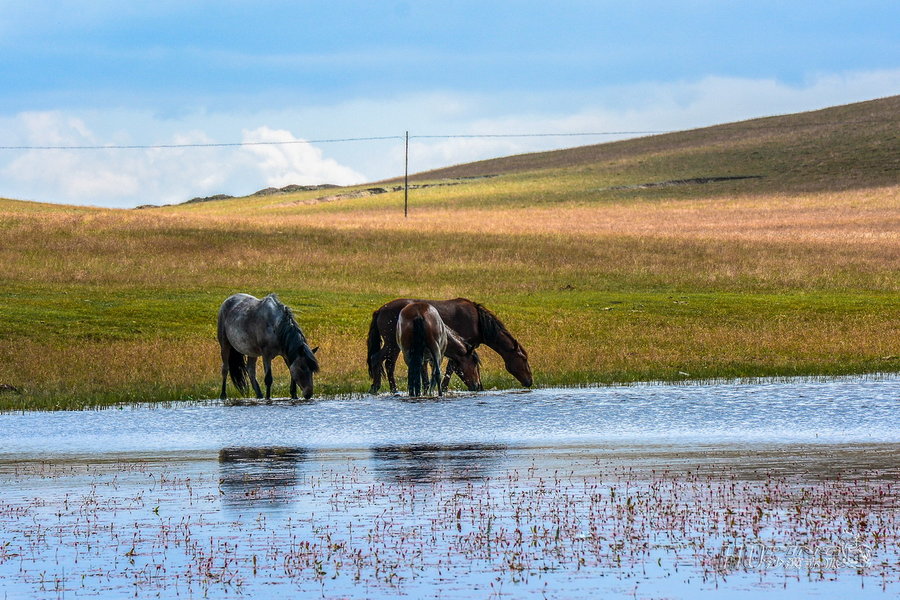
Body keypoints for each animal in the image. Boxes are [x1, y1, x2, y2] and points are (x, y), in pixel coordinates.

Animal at [370, 296, 532, 394]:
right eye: (524, 359)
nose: (530, 381)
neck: (478, 322)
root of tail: (380, 309)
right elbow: (451, 368)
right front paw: (444, 388)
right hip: (392, 344)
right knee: (378, 359)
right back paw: (378, 387)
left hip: (396, 346)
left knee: (388, 364)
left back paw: (392, 390)